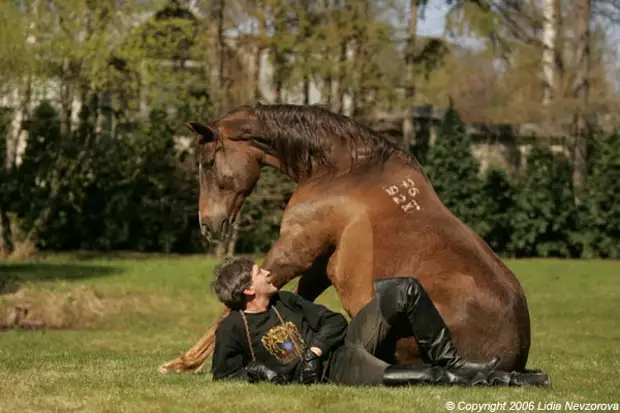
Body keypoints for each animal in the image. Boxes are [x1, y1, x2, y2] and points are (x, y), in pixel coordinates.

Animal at [157, 103, 532, 374]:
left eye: (208, 163)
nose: (208, 225)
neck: (342, 170)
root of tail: (514, 354)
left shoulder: (295, 250)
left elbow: (227, 310)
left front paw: (182, 363)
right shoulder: (320, 264)